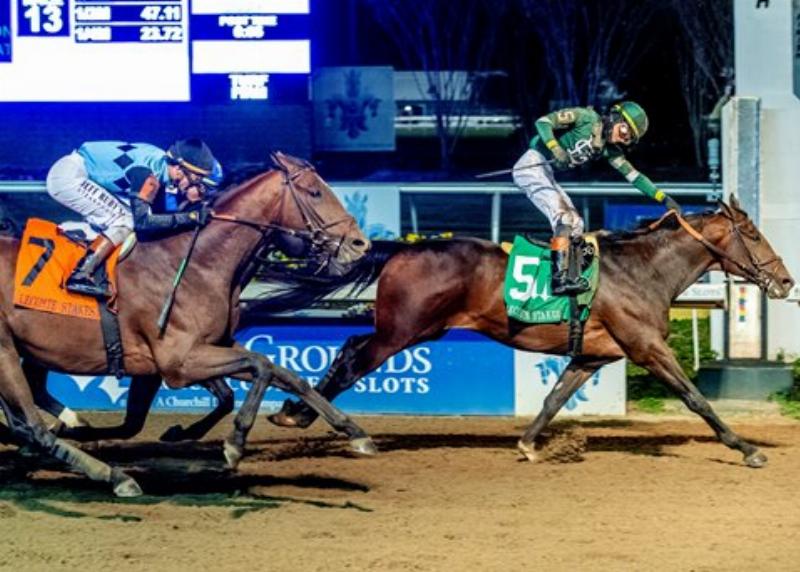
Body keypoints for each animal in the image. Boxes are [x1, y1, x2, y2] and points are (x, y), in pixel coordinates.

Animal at [0, 152, 374, 496]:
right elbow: (261, 365)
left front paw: (355, 433)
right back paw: (114, 475)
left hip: (33, 351)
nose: (361, 244)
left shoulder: (205, 347)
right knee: (31, 426)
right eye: (315, 192)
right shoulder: (177, 362)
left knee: (29, 414)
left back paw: (71, 431)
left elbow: (284, 374)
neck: (196, 263)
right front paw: (234, 443)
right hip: (6, 353)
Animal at [267, 198, 795, 468]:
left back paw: (301, 413)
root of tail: (402, 249)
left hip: (413, 329)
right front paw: (746, 448)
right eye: (754, 235)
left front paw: (528, 443)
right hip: (403, 330)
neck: (643, 270)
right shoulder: (647, 347)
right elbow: (695, 398)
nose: (786, 280)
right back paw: (311, 419)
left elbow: (554, 397)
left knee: (350, 352)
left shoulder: (593, 355)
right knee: (352, 356)